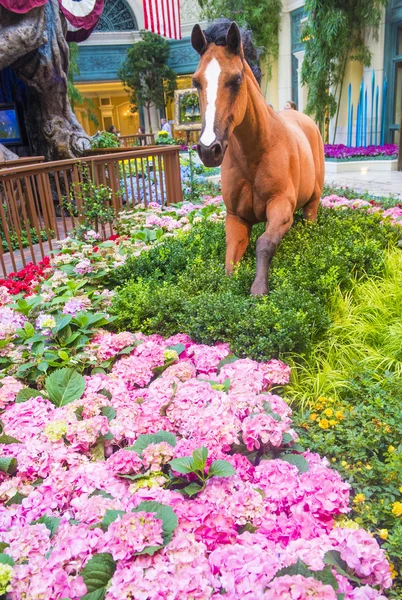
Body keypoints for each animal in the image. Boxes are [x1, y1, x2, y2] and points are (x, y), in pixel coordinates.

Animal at [190, 19, 326, 296]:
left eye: (236, 79)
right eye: (196, 82)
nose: (209, 150)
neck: (255, 154)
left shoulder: (281, 205)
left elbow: (264, 243)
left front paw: (258, 289)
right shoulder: (236, 217)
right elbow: (231, 259)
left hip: (313, 202)